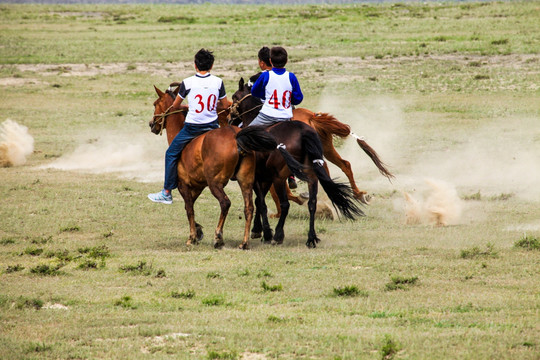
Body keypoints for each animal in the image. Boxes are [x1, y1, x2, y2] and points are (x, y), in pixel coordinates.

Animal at [151, 83, 280, 250]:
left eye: (155, 104)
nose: (151, 124)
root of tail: (235, 135)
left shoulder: (183, 185)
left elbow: (189, 209)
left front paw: (192, 237)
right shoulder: (198, 186)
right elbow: (189, 206)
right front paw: (198, 231)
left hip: (215, 183)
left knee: (225, 203)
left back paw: (218, 237)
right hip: (246, 181)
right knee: (250, 207)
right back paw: (244, 242)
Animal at [230, 76, 394, 217]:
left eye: (233, 97)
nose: (230, 117)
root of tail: (312, 117)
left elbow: (279, 193)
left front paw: (282, 210)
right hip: (326, 149)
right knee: (344, 165)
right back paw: (358, 195)